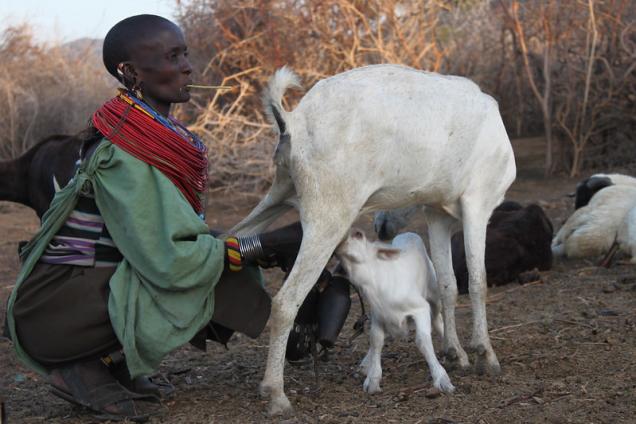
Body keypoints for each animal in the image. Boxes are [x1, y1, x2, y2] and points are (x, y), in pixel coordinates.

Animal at [338, 232, 452, 394]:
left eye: (359, 236)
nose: (341, 240)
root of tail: (408, 233)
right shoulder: (378, 316)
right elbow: (376, 340)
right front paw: (373, 379)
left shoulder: (420, 308)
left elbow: (422, 340)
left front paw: (441, 378)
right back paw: (366, 363)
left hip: (434, 294)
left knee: (437, 320)